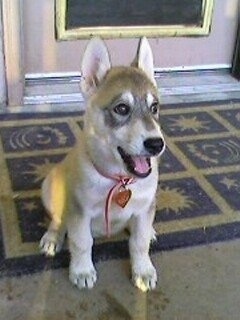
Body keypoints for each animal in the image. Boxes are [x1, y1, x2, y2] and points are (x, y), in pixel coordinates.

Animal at [40, 37, 166, 292]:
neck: (120, 181)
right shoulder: (80, 211)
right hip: (50, 187)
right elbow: (81, 242)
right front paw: (82, 270)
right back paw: (52, 238)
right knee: (58, 219)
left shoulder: (144, 208)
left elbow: (139, 242)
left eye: (154, 107)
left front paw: (143, 270)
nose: (156, 144)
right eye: (122, 108)